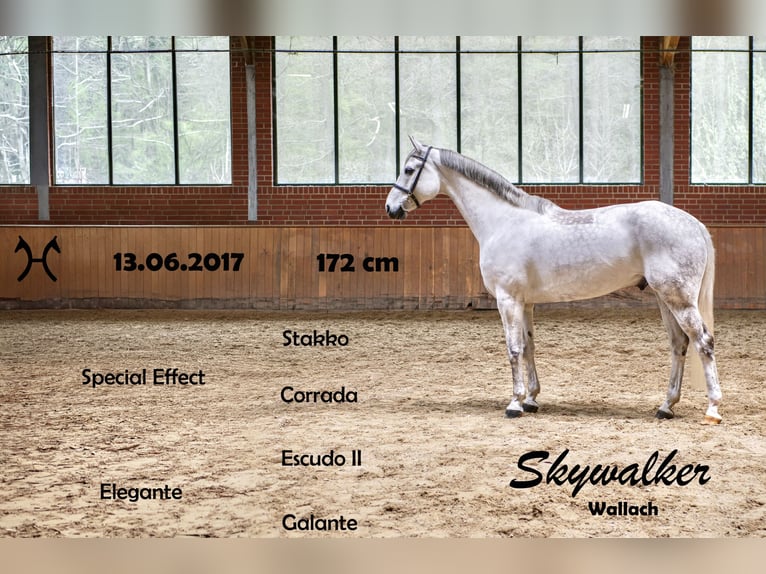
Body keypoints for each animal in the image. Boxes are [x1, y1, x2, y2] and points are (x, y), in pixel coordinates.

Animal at [385, 137, 722, 424]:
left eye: (409, 169)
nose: (391, 207)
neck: (504, 223)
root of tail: (693, 223)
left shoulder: (507, 299)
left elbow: (513, 349)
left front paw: (514, 404)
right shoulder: (525, 303)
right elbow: (529, 346)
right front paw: (531, 400)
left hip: (679, 300)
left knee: (703, 342)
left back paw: (712, 409)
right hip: (665, 299)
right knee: (679, 344)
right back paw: (666, 406)